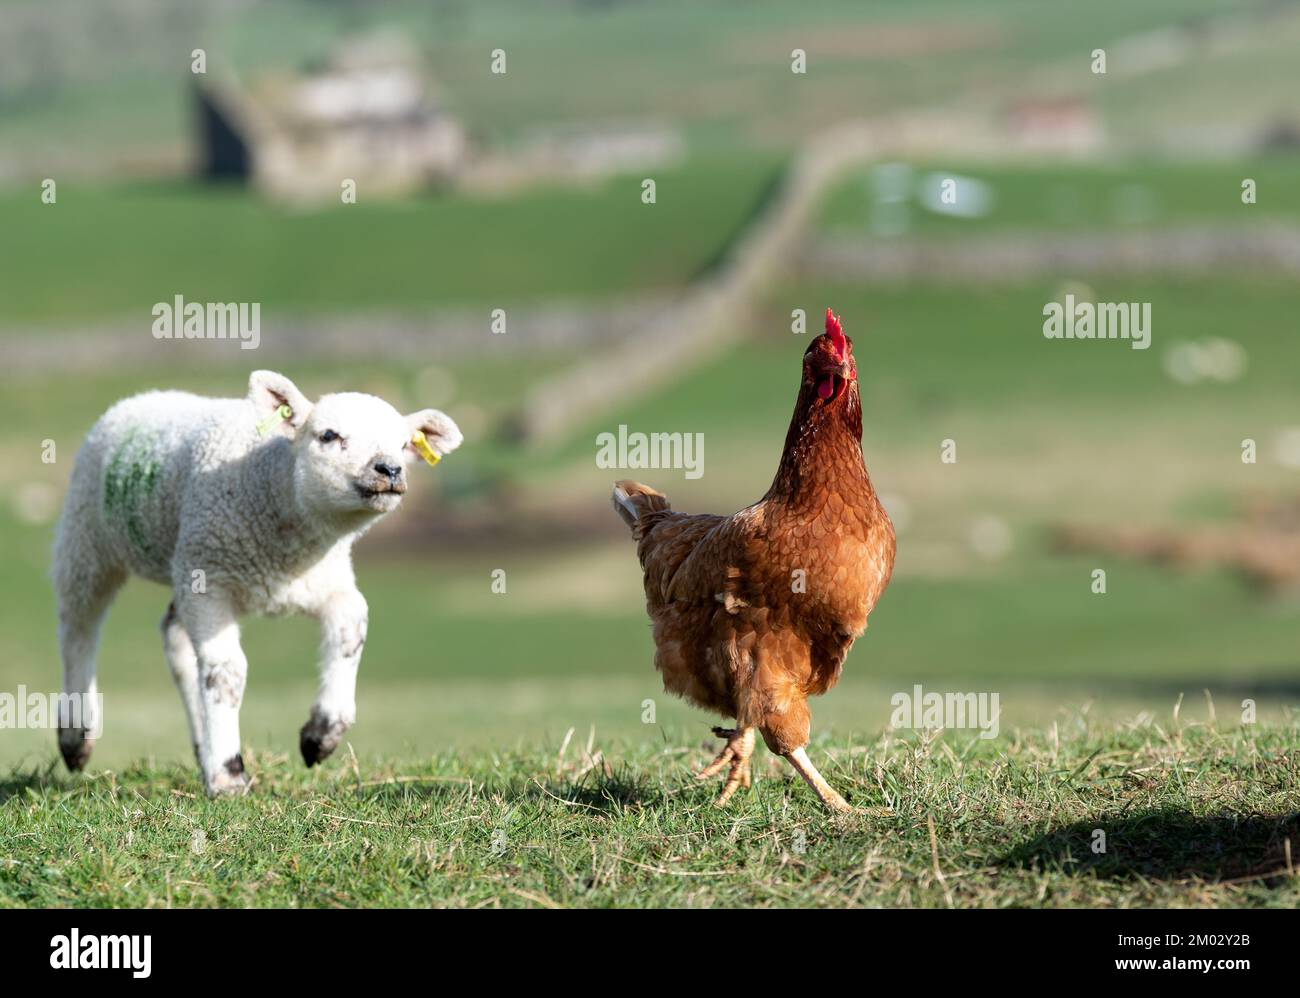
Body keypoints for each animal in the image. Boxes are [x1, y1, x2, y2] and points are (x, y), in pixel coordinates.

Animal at [54, 369, 462, 800]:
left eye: (403, 444)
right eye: (328, 435)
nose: (389, 469)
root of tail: (146, 395)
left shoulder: (325, 579)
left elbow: (352, 626)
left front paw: (320, 736)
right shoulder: (211, 579)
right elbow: (227, 674)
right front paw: (228, 776)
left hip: (183, 565)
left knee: (174, 634)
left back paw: (201, 744)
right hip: (89, 537)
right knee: (79, 627)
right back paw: (76, 737)